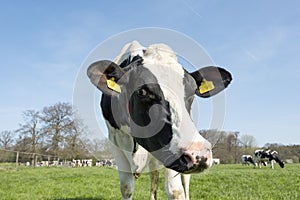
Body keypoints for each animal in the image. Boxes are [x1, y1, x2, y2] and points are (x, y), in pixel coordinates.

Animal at [86, 39, 232, 199]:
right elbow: (126, 187)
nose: (199, 154)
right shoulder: (115, 140)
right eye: (142, 91)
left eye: (193, 91)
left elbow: (176, 191)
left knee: (184, 182)